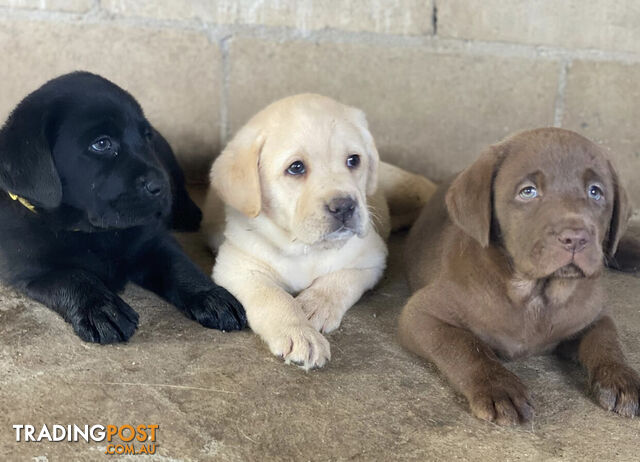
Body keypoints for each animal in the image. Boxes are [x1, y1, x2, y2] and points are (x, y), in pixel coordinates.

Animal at [0, 72, 248, 342]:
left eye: (146, 136)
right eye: (101, 144)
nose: (161, 185)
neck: (94, 233)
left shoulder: (154, 240)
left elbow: (180, 266)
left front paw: (211, 296)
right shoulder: (32, 269)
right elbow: (73, 276)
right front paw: (102, 309)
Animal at [205, 95, 436, 370]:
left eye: (353, 160)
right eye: (296, 167)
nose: (345, 206)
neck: (303, 247)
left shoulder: (371, 257)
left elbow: (340, 281)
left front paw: (313, 306)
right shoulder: (239, 267)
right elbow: (273, 296)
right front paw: (299, 333)